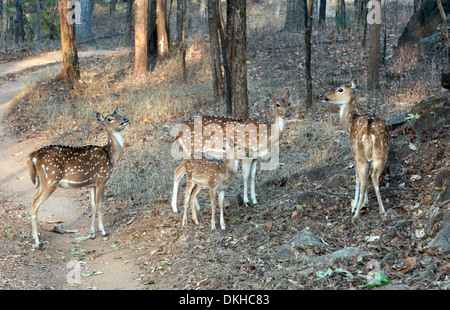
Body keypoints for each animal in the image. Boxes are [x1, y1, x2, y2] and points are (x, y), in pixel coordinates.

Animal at [27, 106, 130, 247]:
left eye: (119, 114)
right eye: (109, 118)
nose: (125, 119)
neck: (110, 157)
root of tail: (33, 156)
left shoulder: (91, 184)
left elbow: (92, 206)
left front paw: (92, 233)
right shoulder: (101, 179)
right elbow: (100, 205)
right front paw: (103, 231)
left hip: (38, 183)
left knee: (32, 202)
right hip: (50, 179)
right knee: (34, 204)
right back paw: (37, 242)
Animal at [320, 81, 390, 219]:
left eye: (340, 89)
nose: (321, 95)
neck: (350, 124)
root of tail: (368, 134)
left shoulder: (353, 154)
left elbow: (357, 179)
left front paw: (355, 206)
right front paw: (366, 201)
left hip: (360, 156)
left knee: (363, 181)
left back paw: (356, 213)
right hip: (381, 154)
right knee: (373, 176)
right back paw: (382, 210)